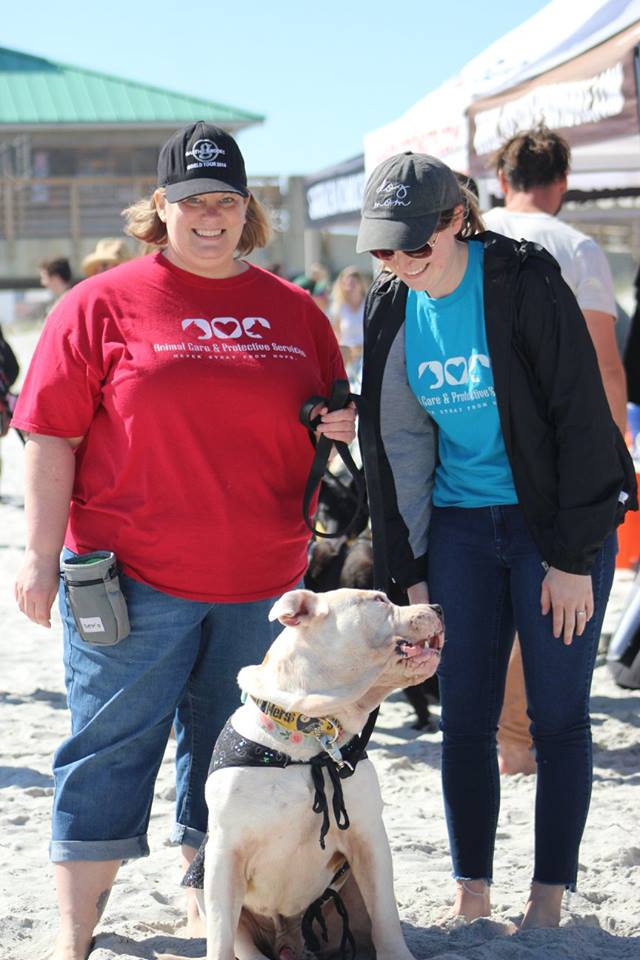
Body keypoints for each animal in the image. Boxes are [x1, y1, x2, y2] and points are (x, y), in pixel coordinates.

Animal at [188, 588, 442, 960]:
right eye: (379, 600)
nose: (437, 606)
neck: (310, 735)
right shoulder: (223, 855)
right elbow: (222, 936)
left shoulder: (368, 839)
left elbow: (386, 916)